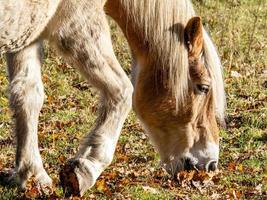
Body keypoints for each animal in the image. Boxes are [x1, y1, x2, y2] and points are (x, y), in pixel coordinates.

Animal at [0, 0, 226, 197]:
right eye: (203, 87)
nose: (210, 164)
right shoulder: (76, 26)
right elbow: (122, 90)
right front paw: (86, 168)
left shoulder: (28, 37)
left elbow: (28, 96)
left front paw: (33, 175)